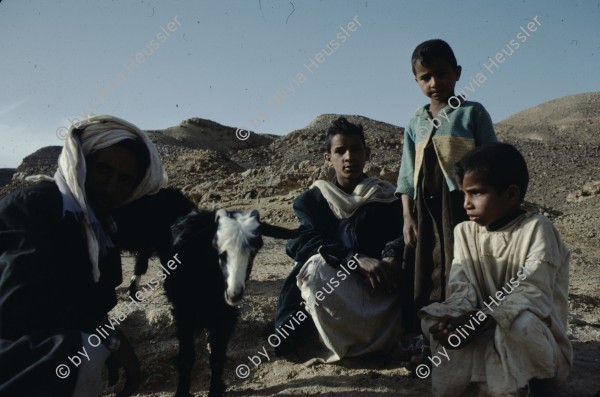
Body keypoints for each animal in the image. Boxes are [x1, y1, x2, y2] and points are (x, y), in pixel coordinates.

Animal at [113, 187, 298, 394]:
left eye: (256, 247)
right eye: (217, 244)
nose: (234, 292)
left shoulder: (225, 315)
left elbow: (217, 356)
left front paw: (216, 388)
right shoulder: (184, 312)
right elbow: (187, 357)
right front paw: (182, 391)